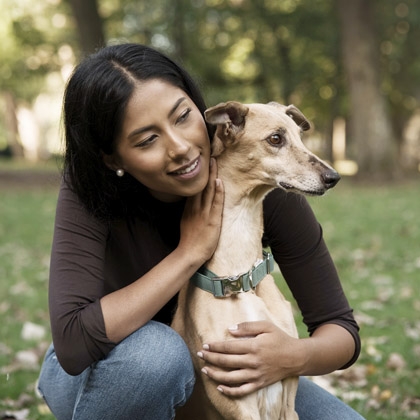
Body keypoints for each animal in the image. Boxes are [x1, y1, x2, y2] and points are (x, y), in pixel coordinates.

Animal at [172, 101, 340, 420]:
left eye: (300, 135)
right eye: (276, 138)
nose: (334, 177)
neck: (239, 278)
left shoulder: (288, 393)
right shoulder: (238, 404)